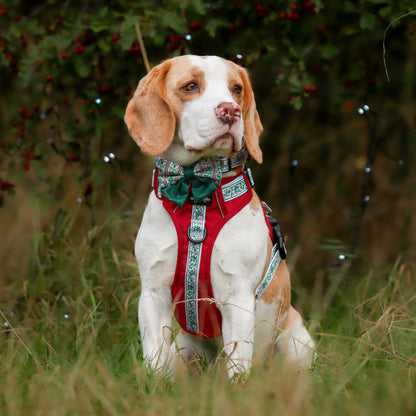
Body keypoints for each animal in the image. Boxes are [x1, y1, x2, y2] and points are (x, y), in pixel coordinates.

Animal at [125, 55, 314, 380]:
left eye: (236, 89)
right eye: (190, 86)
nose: (231, 111)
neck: (195, 191)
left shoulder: (237, 298)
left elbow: (237, 366)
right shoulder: (152, 294)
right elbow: (155, 360)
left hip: (296, 343)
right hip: (183, 350)